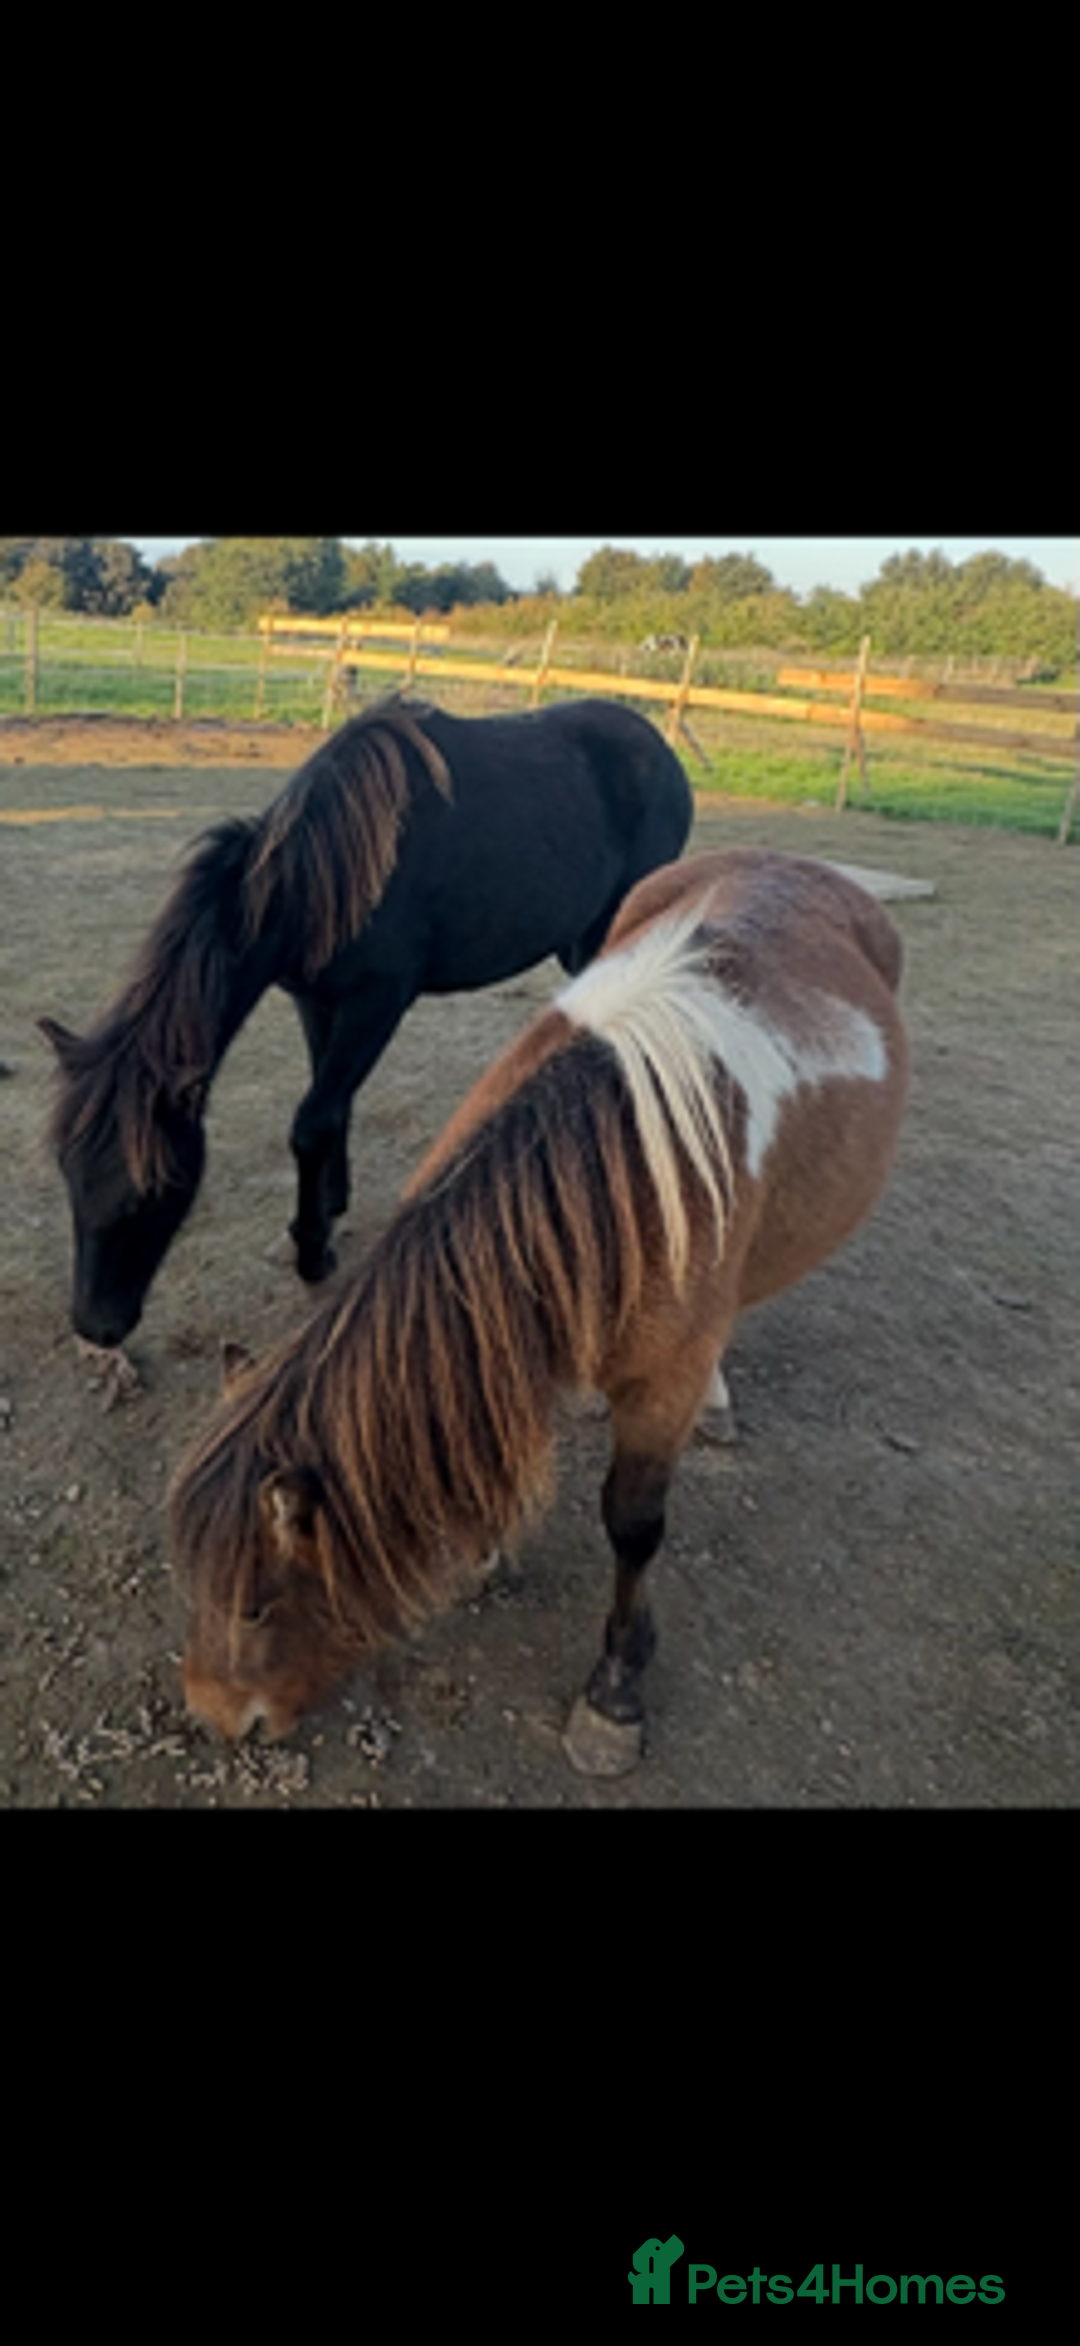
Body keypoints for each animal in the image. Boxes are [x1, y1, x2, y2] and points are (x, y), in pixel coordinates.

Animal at [39, 692, 693, 1352]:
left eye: (153, 1191)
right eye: (68, 1176)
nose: (96, 1326)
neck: (322, 874)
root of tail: (659, 748)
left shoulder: (376, 1003)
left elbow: (312, 1123)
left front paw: (312, 1253)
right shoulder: (316, 1000)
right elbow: (334, 1110)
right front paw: (331, 1204)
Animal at [171, 847, 910, 1777]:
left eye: (258, 1606)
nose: (216, 1717)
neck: (611, 1172)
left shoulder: (661, 1384)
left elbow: (633, 1525)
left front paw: (615, 1694)